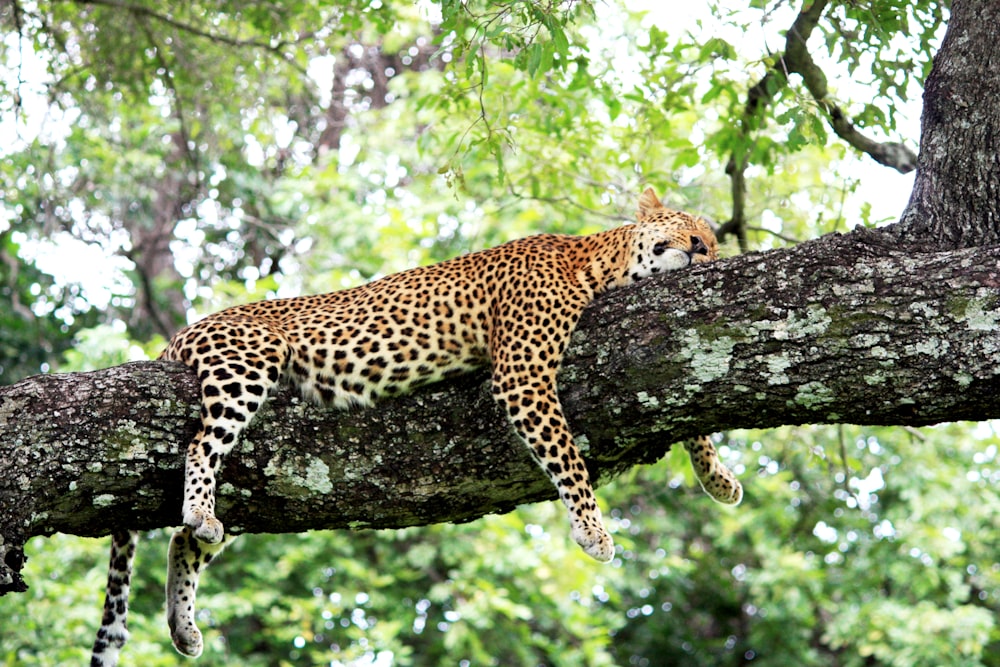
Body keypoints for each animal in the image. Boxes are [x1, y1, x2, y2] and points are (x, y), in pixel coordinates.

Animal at [88, 189, 744, 667]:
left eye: (714, 244)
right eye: (691, 226)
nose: (700, 248)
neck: (599, 264)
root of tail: (183, 331)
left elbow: (690, 406)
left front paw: (719, 479)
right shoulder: (524, 373)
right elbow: (567, 455)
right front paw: (593, 531)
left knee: (184, 537)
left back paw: (185, 621)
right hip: (246, 364)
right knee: (201, 446)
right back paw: (200, 513)